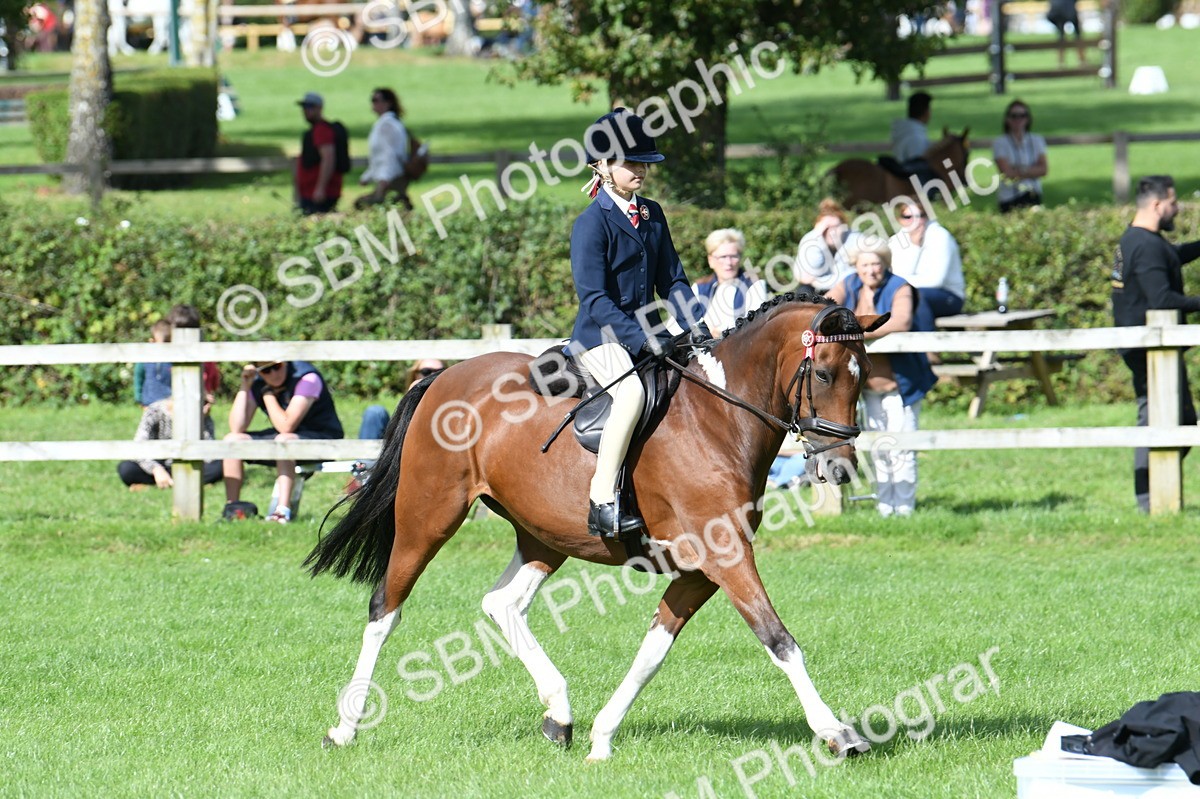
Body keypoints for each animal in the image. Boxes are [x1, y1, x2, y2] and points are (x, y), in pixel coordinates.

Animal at [305, 292, 888, 761]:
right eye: (823, 374)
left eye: (863, 371)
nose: (841, 468)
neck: (718, 420)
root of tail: (442, 375)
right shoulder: (725, 556)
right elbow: (778, 639)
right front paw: (838, 734)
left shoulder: (698, 570)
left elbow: (653, 652)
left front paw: (602, 737)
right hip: (428, 517)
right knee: (386, 608)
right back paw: (345, 727)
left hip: (543, 534)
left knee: (502, 603)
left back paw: (559, 715)